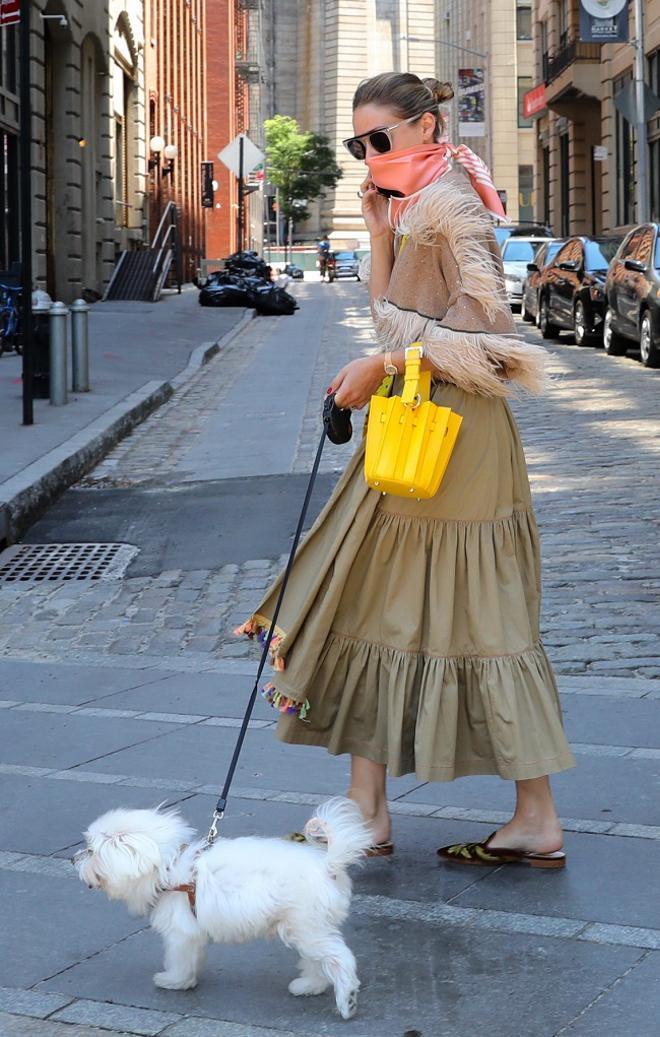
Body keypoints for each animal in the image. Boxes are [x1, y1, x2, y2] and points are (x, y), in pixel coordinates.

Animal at [74, 796, 371, 1016]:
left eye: (91, 850)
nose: (73, 859)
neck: (167, 866)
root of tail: (328, 865)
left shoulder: (181, 931)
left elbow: (179, 958)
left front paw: (174, 981)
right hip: (307, 927)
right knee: (319, 961)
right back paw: (309, 985)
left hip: (307, 926)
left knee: (339, 958)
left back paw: (347, 1000)